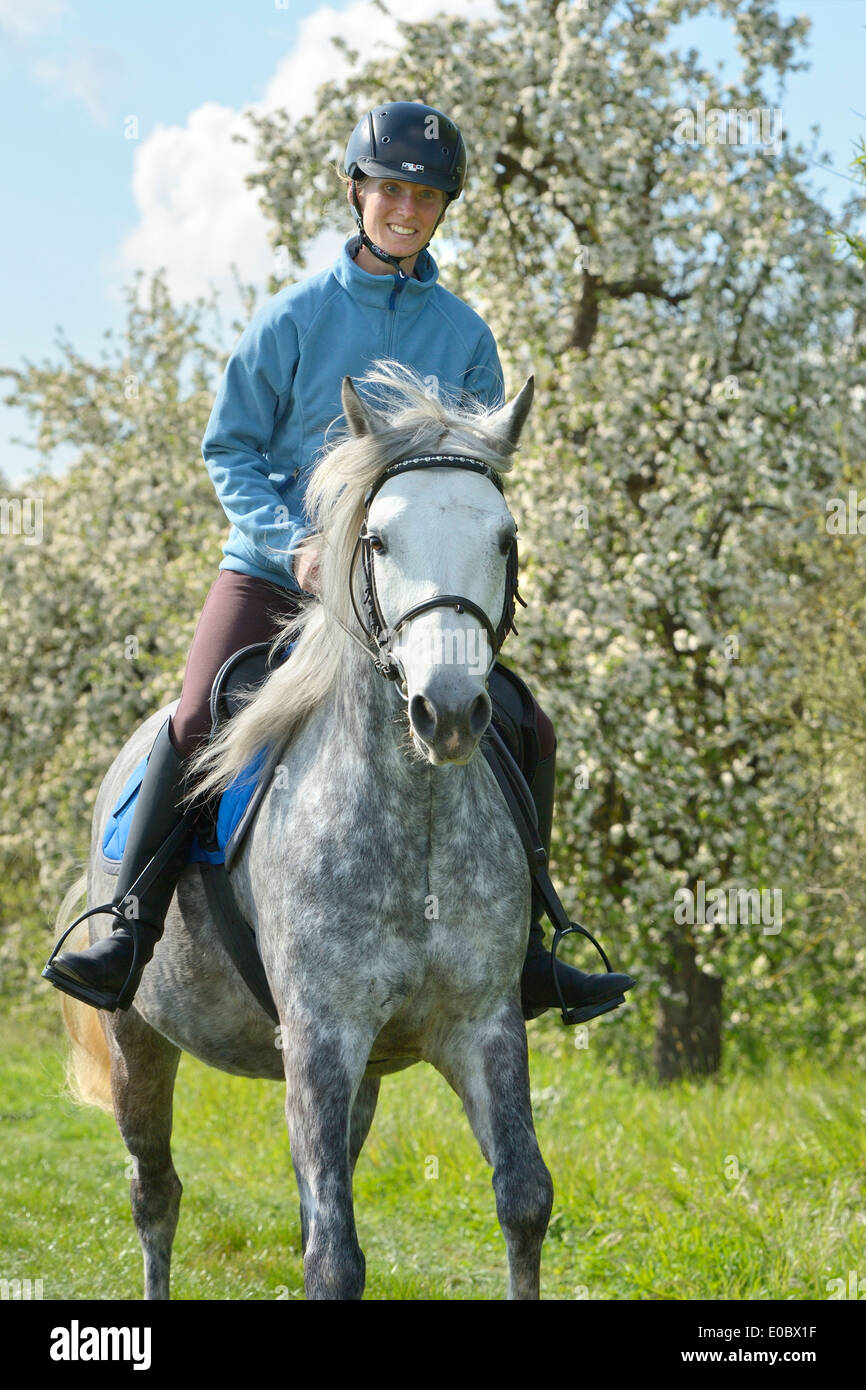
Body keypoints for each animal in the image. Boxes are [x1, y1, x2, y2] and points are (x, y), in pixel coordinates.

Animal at [57, 361, 555, 1300]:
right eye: (380, 541)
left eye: (505, 537)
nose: (449, 712)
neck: (414, 824)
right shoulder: (322, 1033)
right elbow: (334, 1258)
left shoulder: (482, 1025)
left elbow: (523, 1199)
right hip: (139, 1040)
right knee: (155, 1195)